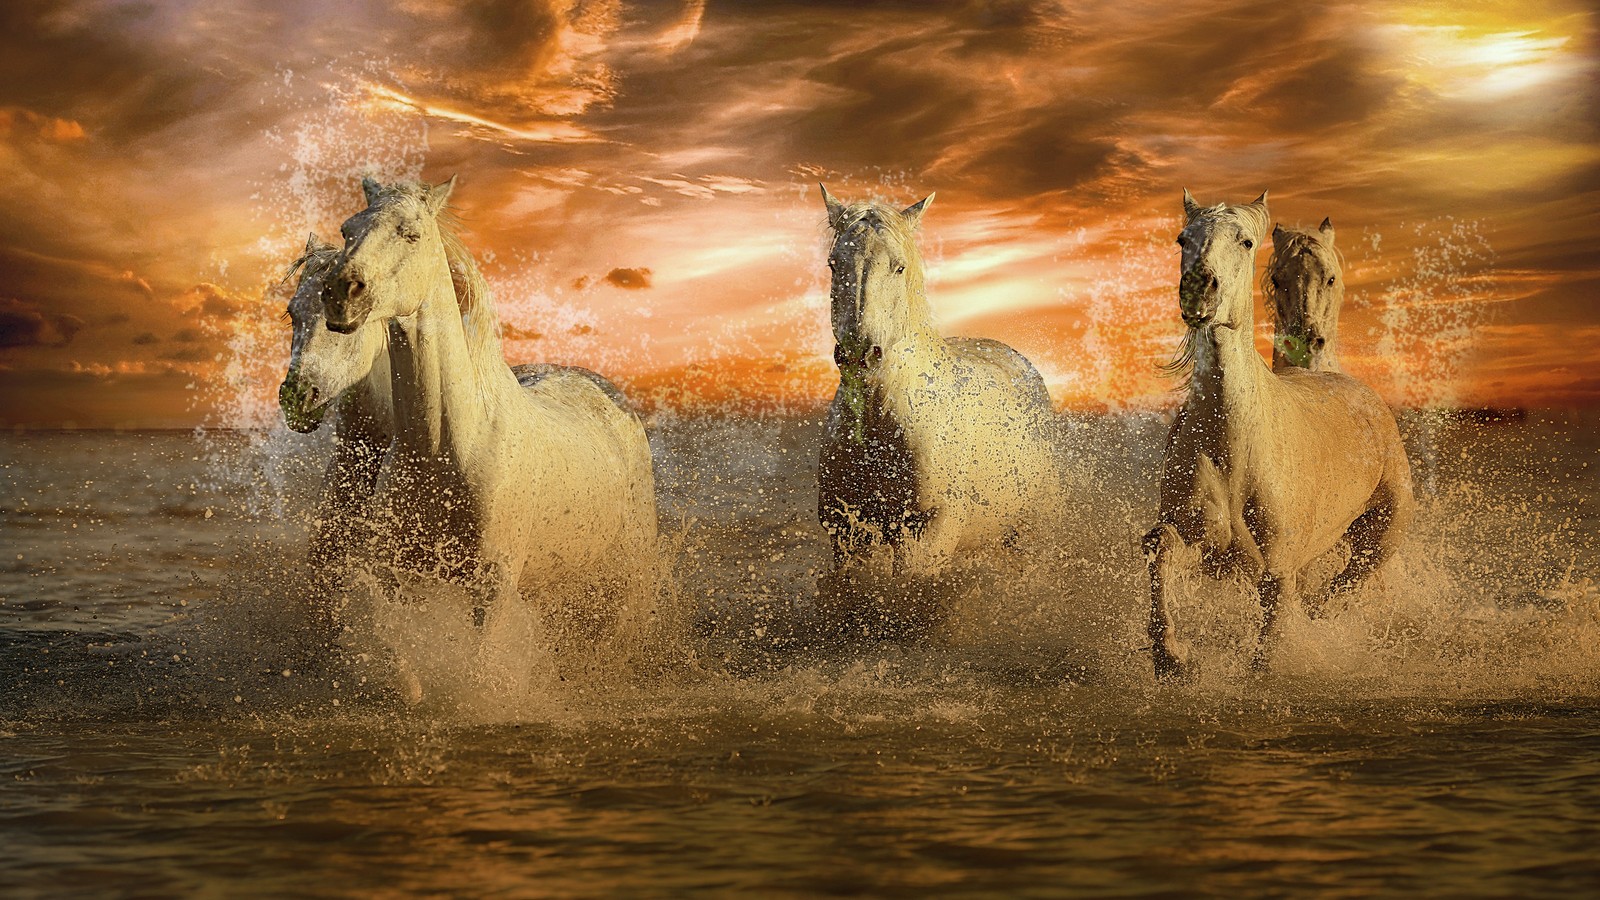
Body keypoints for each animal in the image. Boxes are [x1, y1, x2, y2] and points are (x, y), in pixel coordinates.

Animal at [812, 183, 1062, 627]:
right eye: (833, 264)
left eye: (898, 268)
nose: (859, 354)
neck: (880, 427)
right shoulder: (846, 533)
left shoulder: (926, 533)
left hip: (1027, 532)